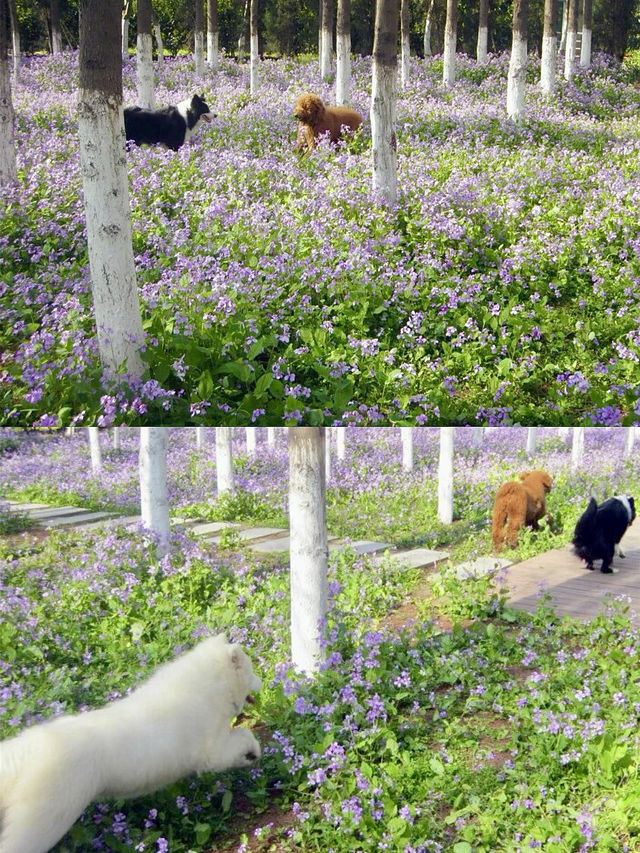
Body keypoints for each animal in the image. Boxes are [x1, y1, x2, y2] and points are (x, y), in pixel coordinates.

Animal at [0, 632, 262, 852]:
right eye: (251, 670)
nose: (262, 681)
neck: (209, 688)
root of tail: (30, 748)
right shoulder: (212, 752)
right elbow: (243, 737)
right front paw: (253, 752)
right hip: (45, 821)